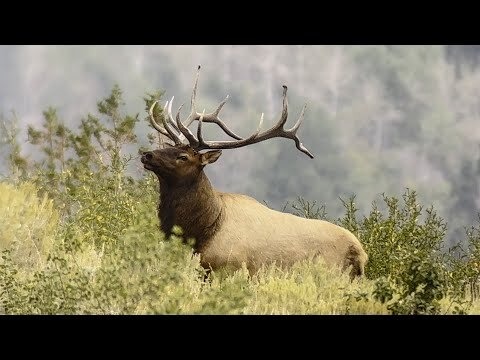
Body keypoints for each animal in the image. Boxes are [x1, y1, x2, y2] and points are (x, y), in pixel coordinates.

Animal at [142, 66, 368, 280]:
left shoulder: (229, 268)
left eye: (183, 156)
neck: (201, 231)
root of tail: (360, 254)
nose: (147, 155)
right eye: (169, 146)